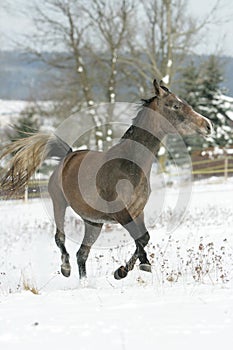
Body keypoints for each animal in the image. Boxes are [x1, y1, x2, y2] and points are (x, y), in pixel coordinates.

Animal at [0, 80, 212, 282]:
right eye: (175, 105)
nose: (207, 125)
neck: (129, 165)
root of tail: (68, 156)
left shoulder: (137, 211)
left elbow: (143, 238)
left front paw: (124, 270)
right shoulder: (120, 212)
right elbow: (141, 238)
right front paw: (136, 267)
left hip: (93, 223)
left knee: (82, 254)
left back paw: (85, 283)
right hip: (59, 203)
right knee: (60, 238)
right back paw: (65, 268)